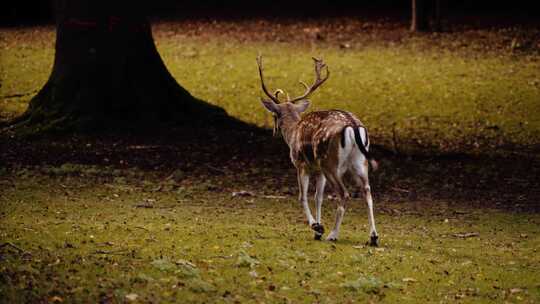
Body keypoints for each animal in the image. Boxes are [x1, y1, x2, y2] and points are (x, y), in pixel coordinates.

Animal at [258, 54, 380, 246]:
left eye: (274, 115)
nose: (274, 131)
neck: (293, 133)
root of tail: (353, 125)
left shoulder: (301, 164)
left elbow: (302, 196)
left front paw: (316, 226)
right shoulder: (318, 170)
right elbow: (319, 197)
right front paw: (317, 230)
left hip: (330, 162)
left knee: (344, 193)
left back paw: (333, 234)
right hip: (360, 162)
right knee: (367, 191)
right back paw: (373, 236)